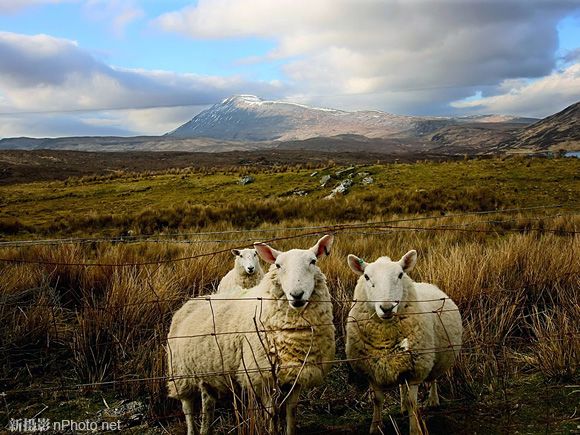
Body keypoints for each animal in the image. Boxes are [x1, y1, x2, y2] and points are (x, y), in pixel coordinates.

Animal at [165, 235, 336, 435]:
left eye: (313, 261)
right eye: (278, 265)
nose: (297, 294)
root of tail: (190, 302)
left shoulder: (297, 374)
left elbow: (291, 412)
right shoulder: (262, 374)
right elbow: (271, 413)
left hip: (207, 372)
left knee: (207, 404)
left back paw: (205, 429)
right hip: (180, 373)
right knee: (188, 408)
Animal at [344, 250, 462, 434]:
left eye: (400, 274)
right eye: (366, 276)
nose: (386, 308)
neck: (385, 336)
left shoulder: (415, 370)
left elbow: (413, 402)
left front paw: (415, 429)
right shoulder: (371, 370)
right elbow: (377, 400)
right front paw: (375, 427)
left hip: (434, 359)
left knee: (433, 379)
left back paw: (433, 400)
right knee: (401, 386)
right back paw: (402, 407)